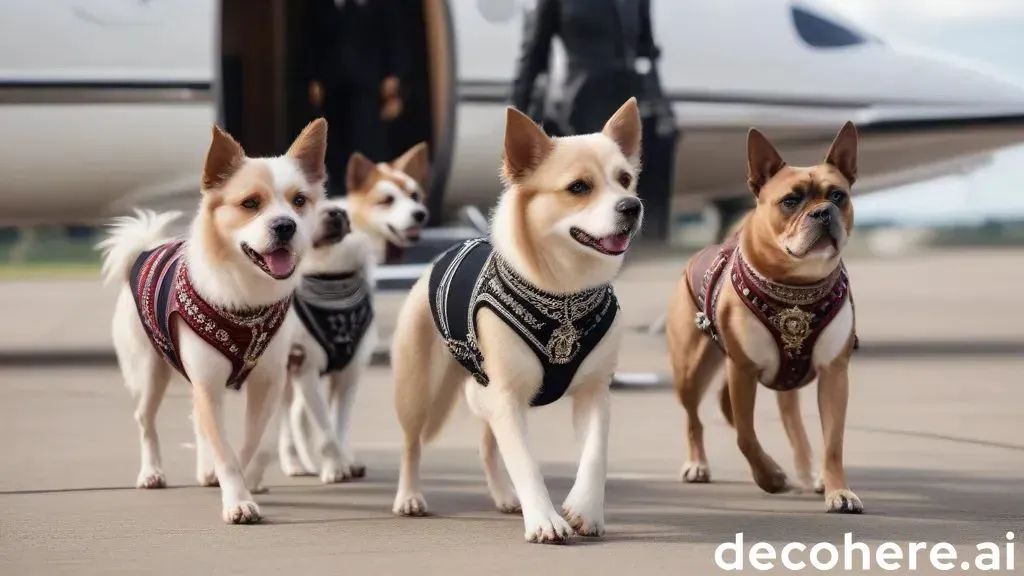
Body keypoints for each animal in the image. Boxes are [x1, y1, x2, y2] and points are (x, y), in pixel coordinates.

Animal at [97, 118, 325, 522]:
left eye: (299, 201)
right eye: (250, 204)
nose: (286, 225)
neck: (248, 299)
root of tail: (146, 249)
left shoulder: (268, 382)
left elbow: (250, 444)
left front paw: (241, 482)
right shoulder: (206, 380)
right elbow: (225, 448)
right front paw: (237, 501)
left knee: (197, 421)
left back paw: (207, 471)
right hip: (150, 371)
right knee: (146, 420)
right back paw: (151, 472)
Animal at [276, 142, 428, 475]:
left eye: (415, 195)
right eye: (387, 199)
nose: (420, 214)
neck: (332, 275)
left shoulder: (350, 371)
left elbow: (339, 424)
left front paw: (344, 460)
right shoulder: (307, 368)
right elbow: (325, 428)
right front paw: (334, 467)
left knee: (296, 416)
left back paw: (308, 462)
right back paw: (291, 463)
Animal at [387, 96, 643, 541]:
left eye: (626, 179)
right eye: (579, 188)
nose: (632, 206)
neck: (564, 294)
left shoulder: (594, 393)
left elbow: (595, 455)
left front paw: (585, 509)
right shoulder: (507, 396)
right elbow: (525, 463)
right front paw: (544, 519)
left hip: (488, 394)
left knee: (488, 445)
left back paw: (505, 496)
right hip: (417, 388)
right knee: (411, 444)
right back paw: (410, 496)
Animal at [663, 119, 864, 510]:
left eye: (838, 196)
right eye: (790, 201)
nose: (823, 212)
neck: (797, 286)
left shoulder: (834, 374)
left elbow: (833, 442)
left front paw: (838, 489)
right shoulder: (742, 369)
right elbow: (745, 435)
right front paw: (770, 477)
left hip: (788, 380)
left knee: (793, 425)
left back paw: (810, 473)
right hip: (691, 369)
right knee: (695, 417)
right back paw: (697, 464)